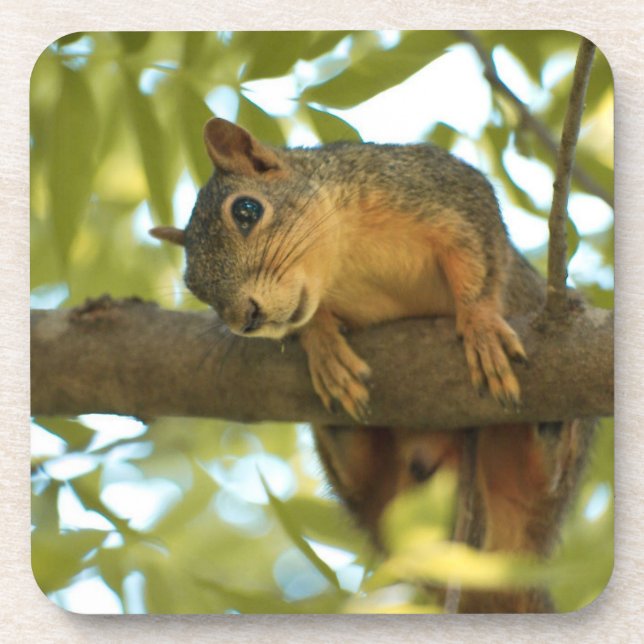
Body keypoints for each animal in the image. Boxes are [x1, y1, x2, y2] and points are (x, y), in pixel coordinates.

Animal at [151, 118, 594, 613]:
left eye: (247, 210)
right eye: (194, 285)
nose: (246, 320)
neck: (343, 260)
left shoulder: (442, 189)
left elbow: (477, 258)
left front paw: (479, 323)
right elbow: (312, 321)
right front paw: (323, 343)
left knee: (544, 475)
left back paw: (552, 426)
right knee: (363, 473)